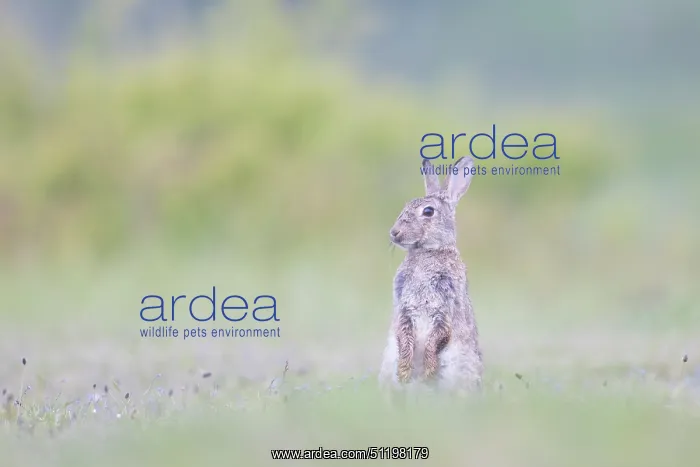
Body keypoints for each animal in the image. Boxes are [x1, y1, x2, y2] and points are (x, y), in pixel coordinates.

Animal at [378, 156, 483, 393]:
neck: (427, 252)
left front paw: (427, 372)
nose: (394, 233)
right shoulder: (404, 309)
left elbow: (436, 338)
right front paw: (405, 372)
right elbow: (404, 335)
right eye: (405, 206)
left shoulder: (445, 308)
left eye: (428, 212)